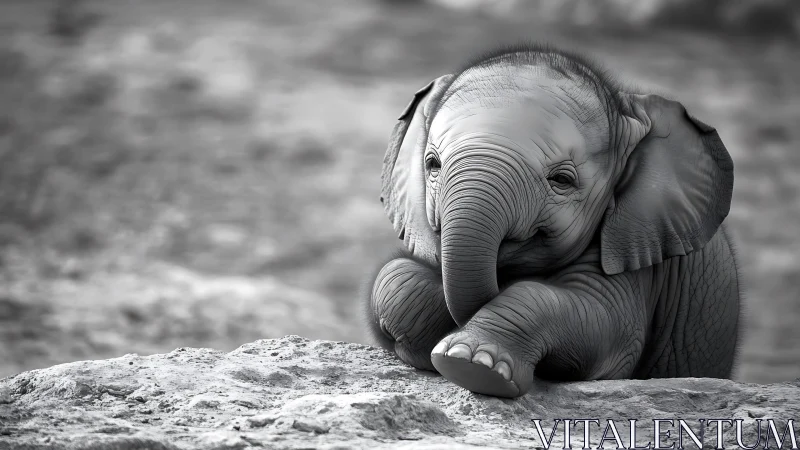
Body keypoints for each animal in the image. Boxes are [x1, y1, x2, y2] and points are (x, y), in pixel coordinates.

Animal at [364, 44, 742, 398]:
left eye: (562, 180)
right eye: (432, 164)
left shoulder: (636, 254)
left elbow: (602, 322)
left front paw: (470, 365)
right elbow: (398, 275)